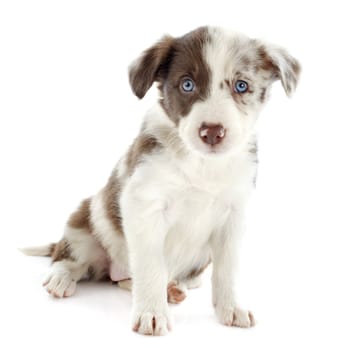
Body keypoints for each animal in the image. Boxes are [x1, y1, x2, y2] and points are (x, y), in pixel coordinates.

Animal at [22, 26, 300, 336]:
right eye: (187, 85)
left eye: (242, 86)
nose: (212, 132)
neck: (202, 164)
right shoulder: (143, 205)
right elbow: (151, 264)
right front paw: (151, 313)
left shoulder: (235, 213)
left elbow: (229, 268)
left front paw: (231, 307)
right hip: (85, 223)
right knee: (70, 257)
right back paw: (61, 278)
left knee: (131, 280)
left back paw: (172, 289)